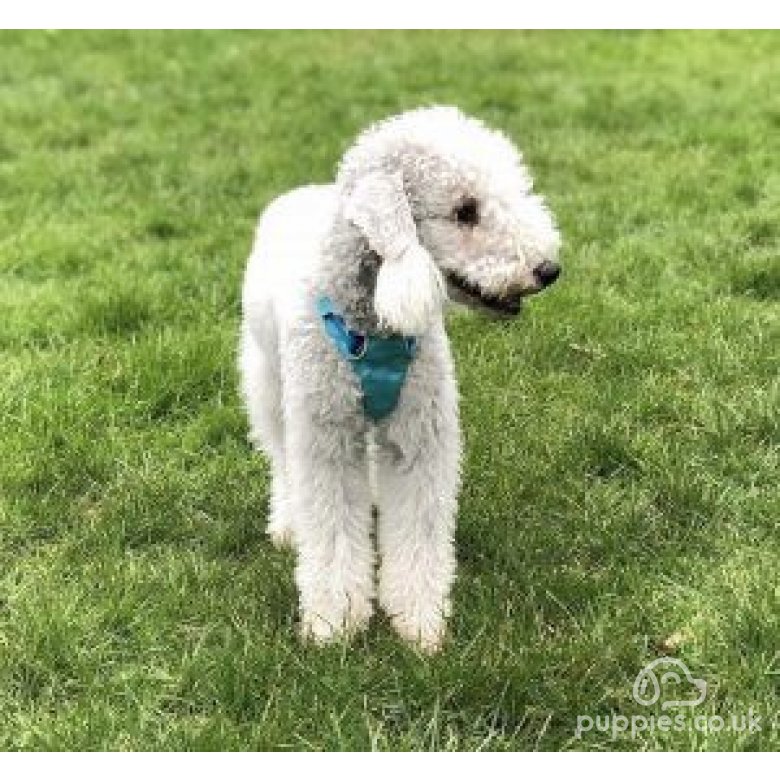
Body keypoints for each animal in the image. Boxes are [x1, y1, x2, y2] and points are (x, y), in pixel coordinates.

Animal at [239, 105, 560, 652]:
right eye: (465, 210)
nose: (548, 269)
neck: (374, 327)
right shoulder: (326, 435)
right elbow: (330, 527)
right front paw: (334, 625)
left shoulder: (420, 434)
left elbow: (418, 527)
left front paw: (419, 624)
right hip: (268, 382)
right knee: (281, 459)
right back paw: (286, 523)